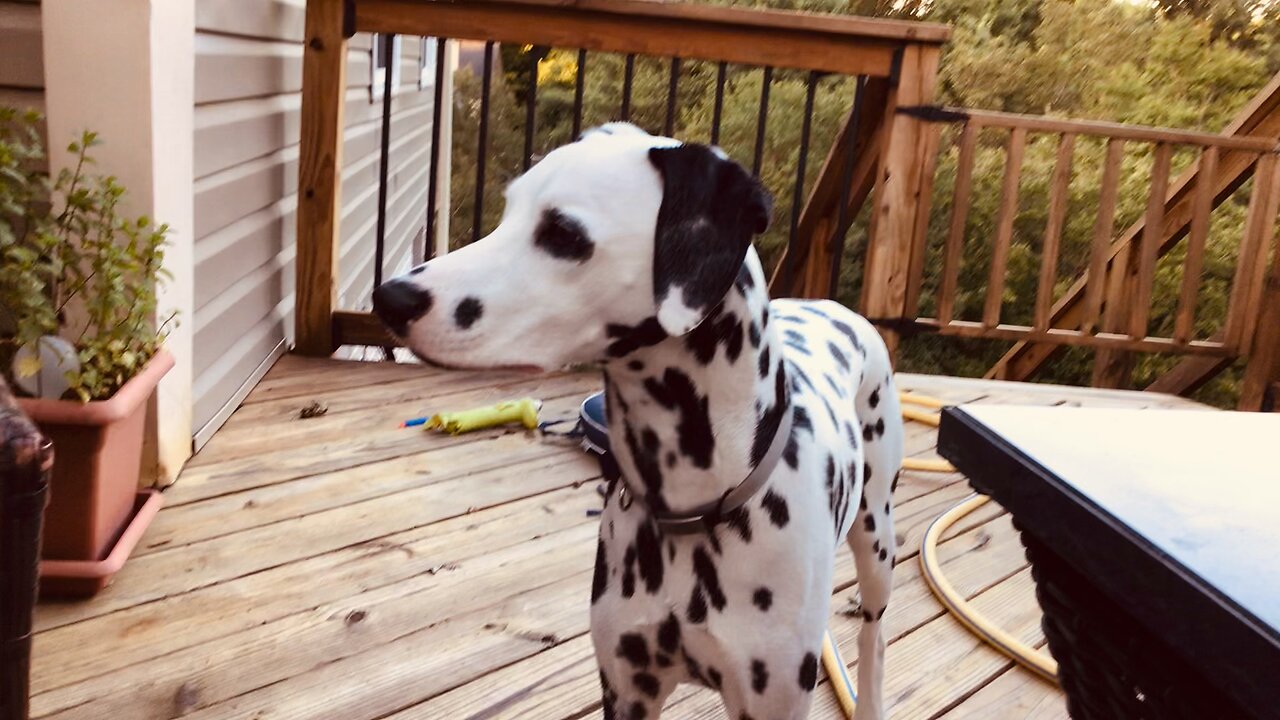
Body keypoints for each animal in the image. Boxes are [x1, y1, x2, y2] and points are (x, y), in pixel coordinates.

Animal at [373, 122, 901, 717]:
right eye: (510, 210)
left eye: (563, 233)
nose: (390, 297)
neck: (693, 508)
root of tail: (835, 308)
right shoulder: (626, 689)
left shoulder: (773, 701)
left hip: (876, 537)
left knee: (875, 633)